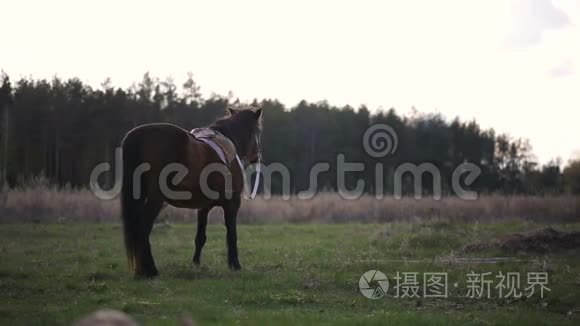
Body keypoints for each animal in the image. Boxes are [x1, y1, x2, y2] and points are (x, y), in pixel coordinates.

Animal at [122, 107, 262, 278]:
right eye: (259, 131)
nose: (258, 157)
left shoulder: (203, 207)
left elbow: (200, 237)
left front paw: (196, 264)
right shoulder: (233, 203)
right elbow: (232, 235)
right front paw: (235, 265)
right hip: (156, 198)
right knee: (143, 227)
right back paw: (150, 270)